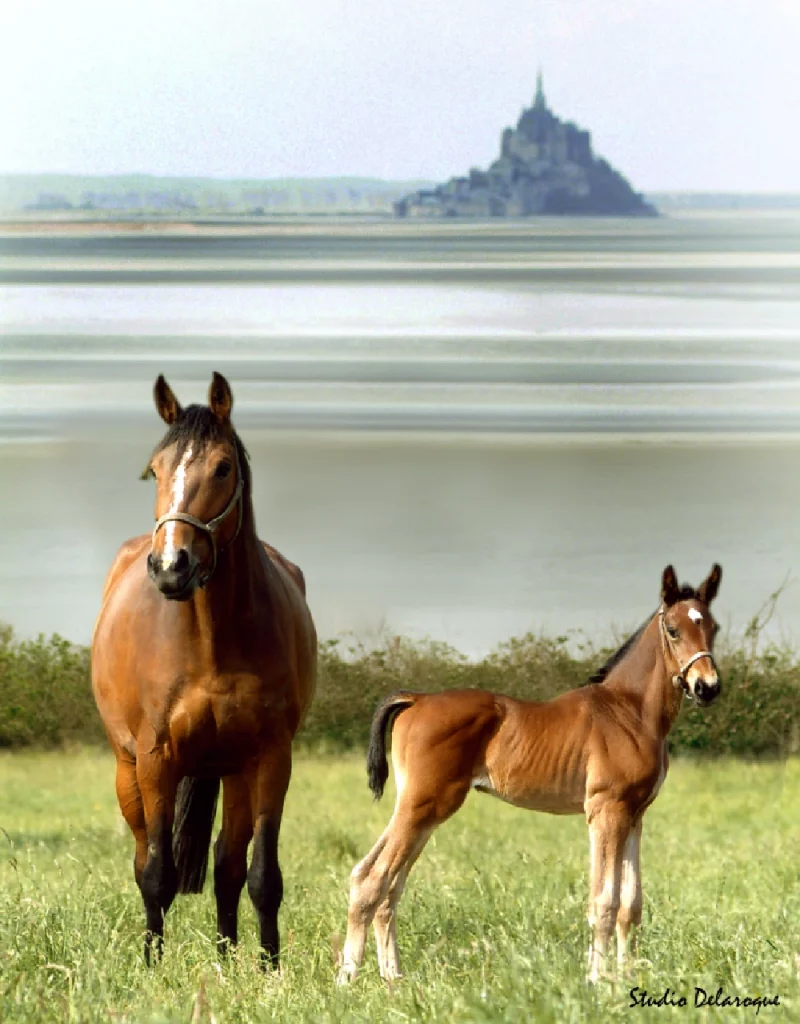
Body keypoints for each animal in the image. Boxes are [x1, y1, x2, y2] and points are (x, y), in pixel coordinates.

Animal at [91, 372, 316, 967]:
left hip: (233, 772)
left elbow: (259, 876)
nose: (171, 567)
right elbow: (156, 873)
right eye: (155, 469)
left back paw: (225, 955)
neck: (211, 643)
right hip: (127, 770)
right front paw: (152, 965)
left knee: (227, 865)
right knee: (144, 857)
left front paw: (268, 967)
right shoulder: (156, 760)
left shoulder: (270, 759)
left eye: (222, 468)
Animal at [337, 563, 723, 985]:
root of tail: (417, 699)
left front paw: (627, 979)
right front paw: (596, 981)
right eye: (673, 629)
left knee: (388, 884)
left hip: (423, 812)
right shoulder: (606, 811)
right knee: (372, 878)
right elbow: (603, 901)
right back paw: (347, 978)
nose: (707, 687)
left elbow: (630, 904)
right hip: (422, 806)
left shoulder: (635, 815)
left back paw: (393, 979)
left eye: (714, 627)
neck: (629, 711)